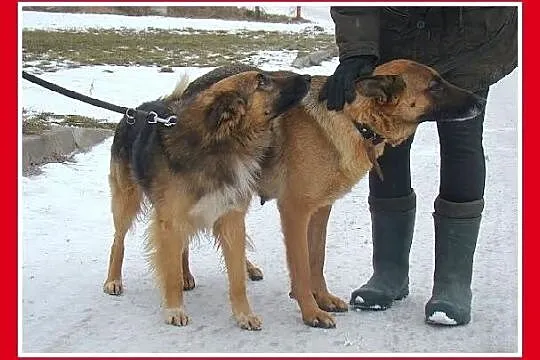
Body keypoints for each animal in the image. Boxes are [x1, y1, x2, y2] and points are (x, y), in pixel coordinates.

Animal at [103, 69, 310, 330]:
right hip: (126, 199)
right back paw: (113, 279)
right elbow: (169, 273)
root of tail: (135, 110)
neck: (222, 146)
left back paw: (187, 275)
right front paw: (175, 309)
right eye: (262, 81)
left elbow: (237, 278)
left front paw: (244, 314)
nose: (308, 78)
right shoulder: (170, 222)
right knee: (118, 240)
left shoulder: (231, 219)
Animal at [180, 59, 486, 330]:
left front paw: (323, 298)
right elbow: (302, 267)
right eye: (435, 86)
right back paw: (183, 276)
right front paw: (310, 311)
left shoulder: (320, 211)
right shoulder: (295, 211)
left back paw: (246, 268)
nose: (480, 102)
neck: (354, 120)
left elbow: (317, 258)